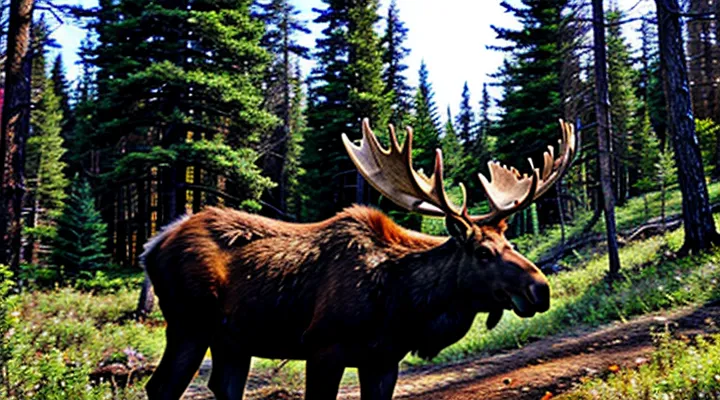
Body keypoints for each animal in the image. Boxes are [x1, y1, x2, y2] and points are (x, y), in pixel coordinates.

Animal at [142, 118, 576, 400]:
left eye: (511, 242)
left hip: (232, 339)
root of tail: (152, 246)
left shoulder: (382, 361)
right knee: (160, 388)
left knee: (222, 387)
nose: (540, 289)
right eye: (484, 252)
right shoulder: (323, 348)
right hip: (189, 325)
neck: (405, 305)